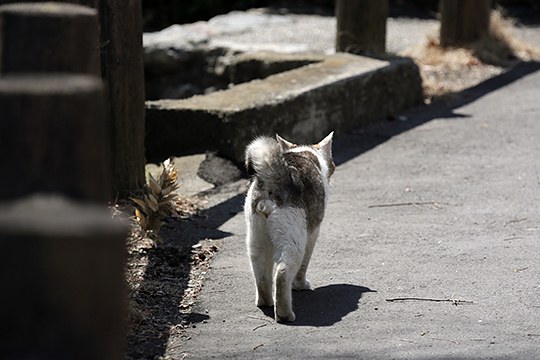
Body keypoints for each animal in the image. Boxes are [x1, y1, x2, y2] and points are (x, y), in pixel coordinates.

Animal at [244, 133, 334, 324]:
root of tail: (274, 176)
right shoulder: (312, 233)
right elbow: (304, 266)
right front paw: (300, 286)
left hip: (256, 239)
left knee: (261, 275)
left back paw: (265, 302)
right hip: (293, 241)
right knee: (282, 273)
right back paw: (285, 314)